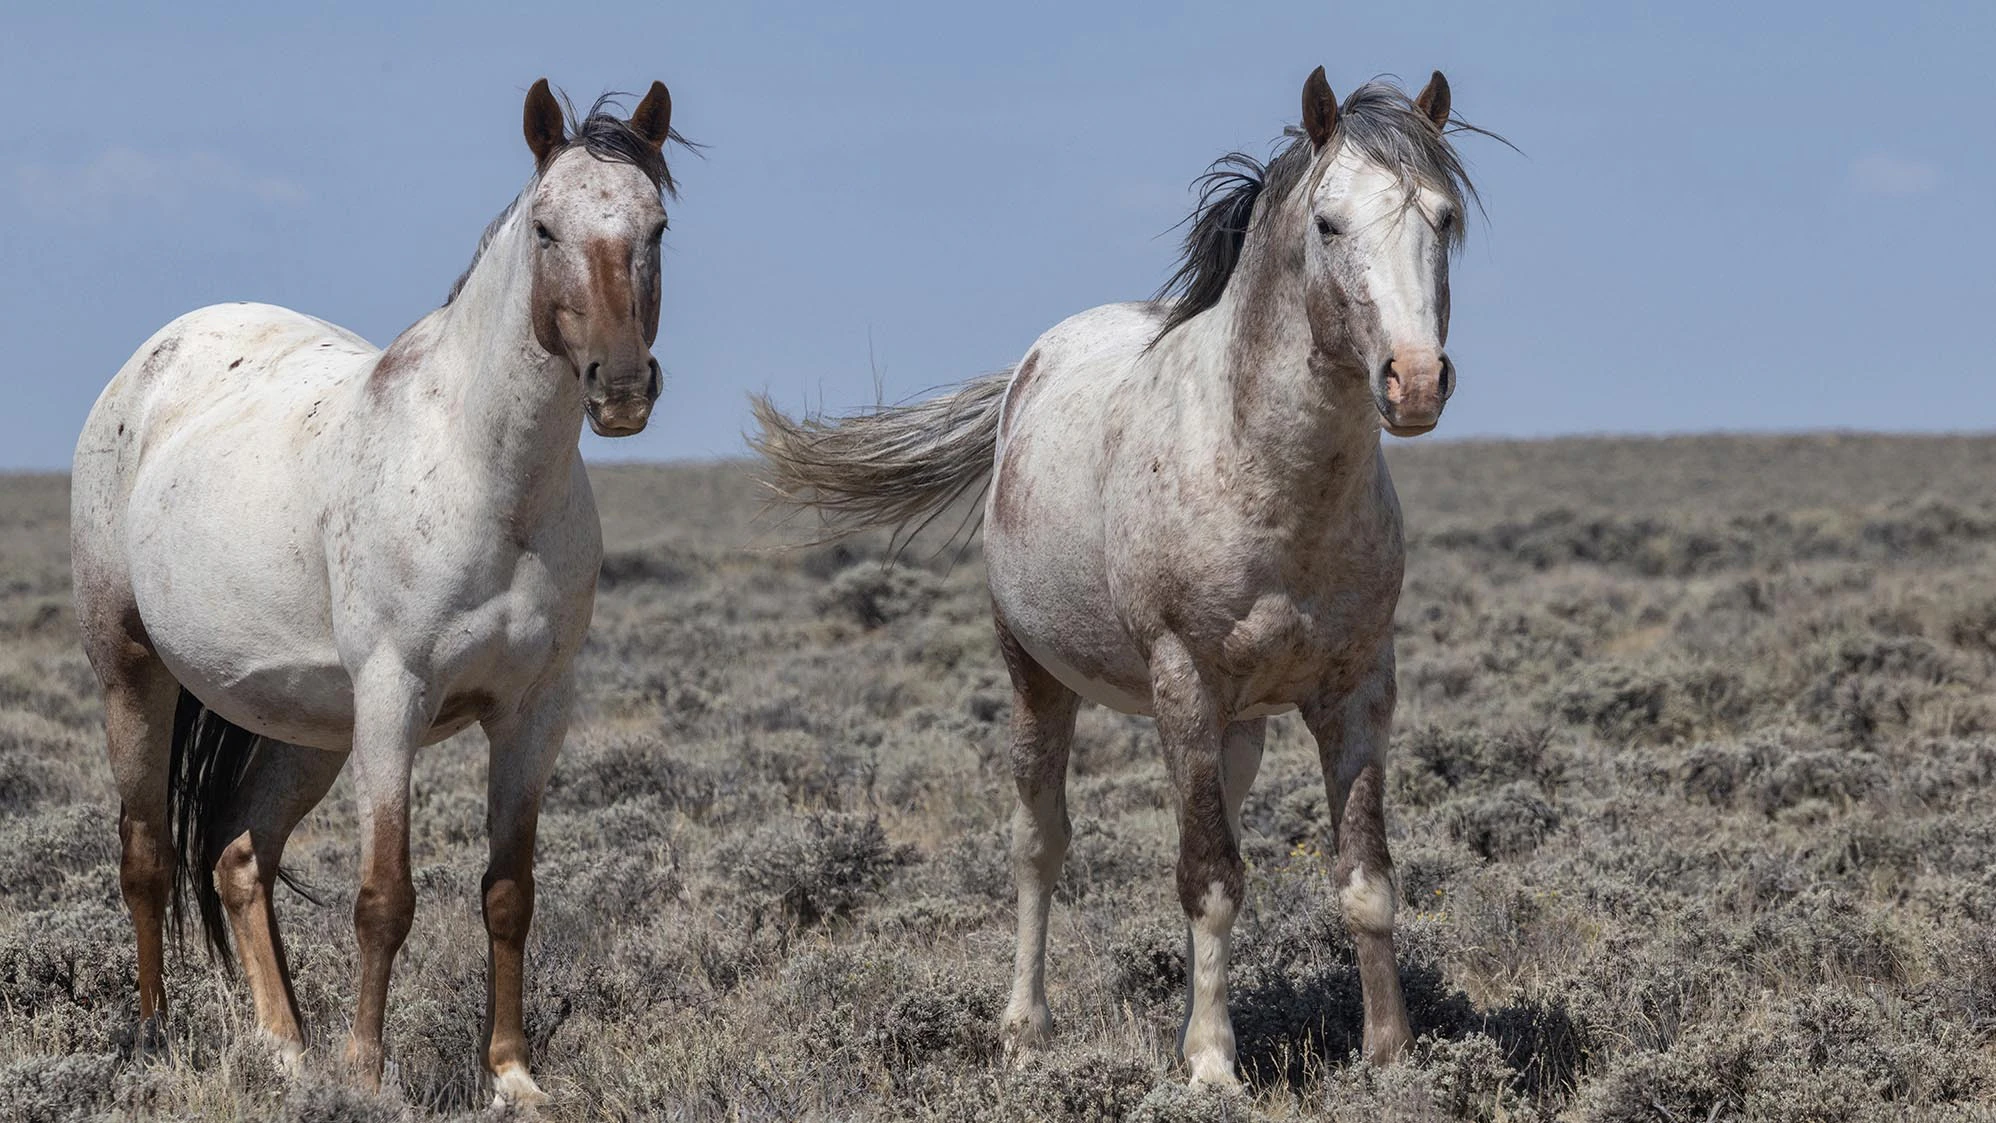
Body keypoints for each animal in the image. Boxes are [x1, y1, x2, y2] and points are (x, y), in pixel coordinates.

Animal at [70, 78, 681, 1104]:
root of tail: (146, 364)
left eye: (657, 226)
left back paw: (284, 1045)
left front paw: (512, 1074)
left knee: (239, 859)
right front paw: (364, 1071)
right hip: (132, 671)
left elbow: (508, 893)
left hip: (309, 728)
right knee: (146, 856)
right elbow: (383, 897)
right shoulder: (396, 697)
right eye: (546, 228)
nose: (623, 386)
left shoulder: (535, 709)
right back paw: (153, 1038)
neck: (487, 479)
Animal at [753, 67, 1485, 1085]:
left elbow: (1362, 878)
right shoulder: (1182, 680)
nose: (1413, 381)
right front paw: (1213, 1065)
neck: (1272, 483)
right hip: (1037, 676)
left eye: (1443, 216)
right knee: (1040, 841)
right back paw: (1025, 1023)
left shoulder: (1360, 687)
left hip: (1238, 726)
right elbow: (1209, 879)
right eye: (1329, 223)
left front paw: (1391, 1056)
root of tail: (1032, 367)